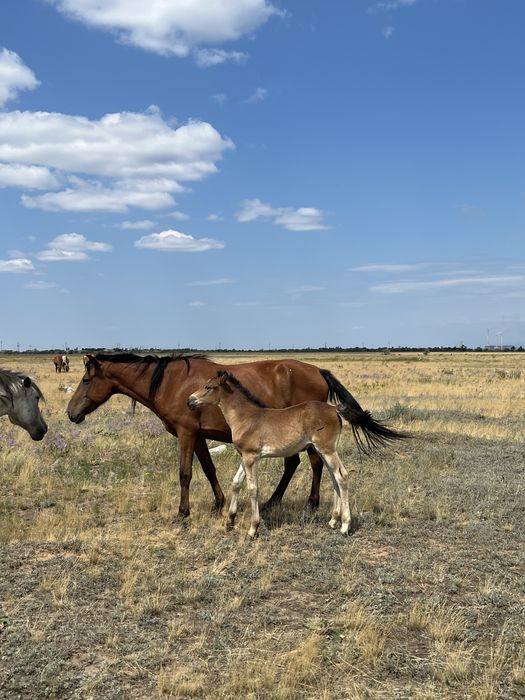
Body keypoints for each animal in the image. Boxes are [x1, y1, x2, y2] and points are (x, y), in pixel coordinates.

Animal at [67, 352, 406, 519]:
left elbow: (185, 473)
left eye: (85, 380)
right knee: (296, 465)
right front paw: (219, 504)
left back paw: (308, 503)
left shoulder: (186, 434)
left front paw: (182, 513)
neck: (170, 382)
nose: (71, 413)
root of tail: (317, 370)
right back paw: (273, 501)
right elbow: (208, 469)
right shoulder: (199, 436)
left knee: (314, 465)